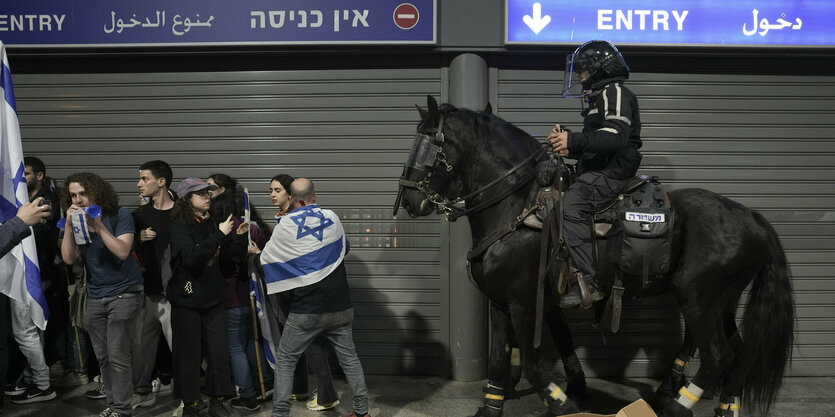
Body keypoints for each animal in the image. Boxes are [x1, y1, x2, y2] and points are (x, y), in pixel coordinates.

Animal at [396, 95, 796, 416]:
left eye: (427, 143)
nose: (411, 199)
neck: (516, 207)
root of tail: (751, 217)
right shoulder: (502, 302)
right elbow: (500, 359)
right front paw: (492, 407)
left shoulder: (525, 302)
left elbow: (535, 365)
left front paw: (563, 403)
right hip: (723, 301)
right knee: (739, 352)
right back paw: (726, 406)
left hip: (700, 300)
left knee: (719, 356)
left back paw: (677, 406)